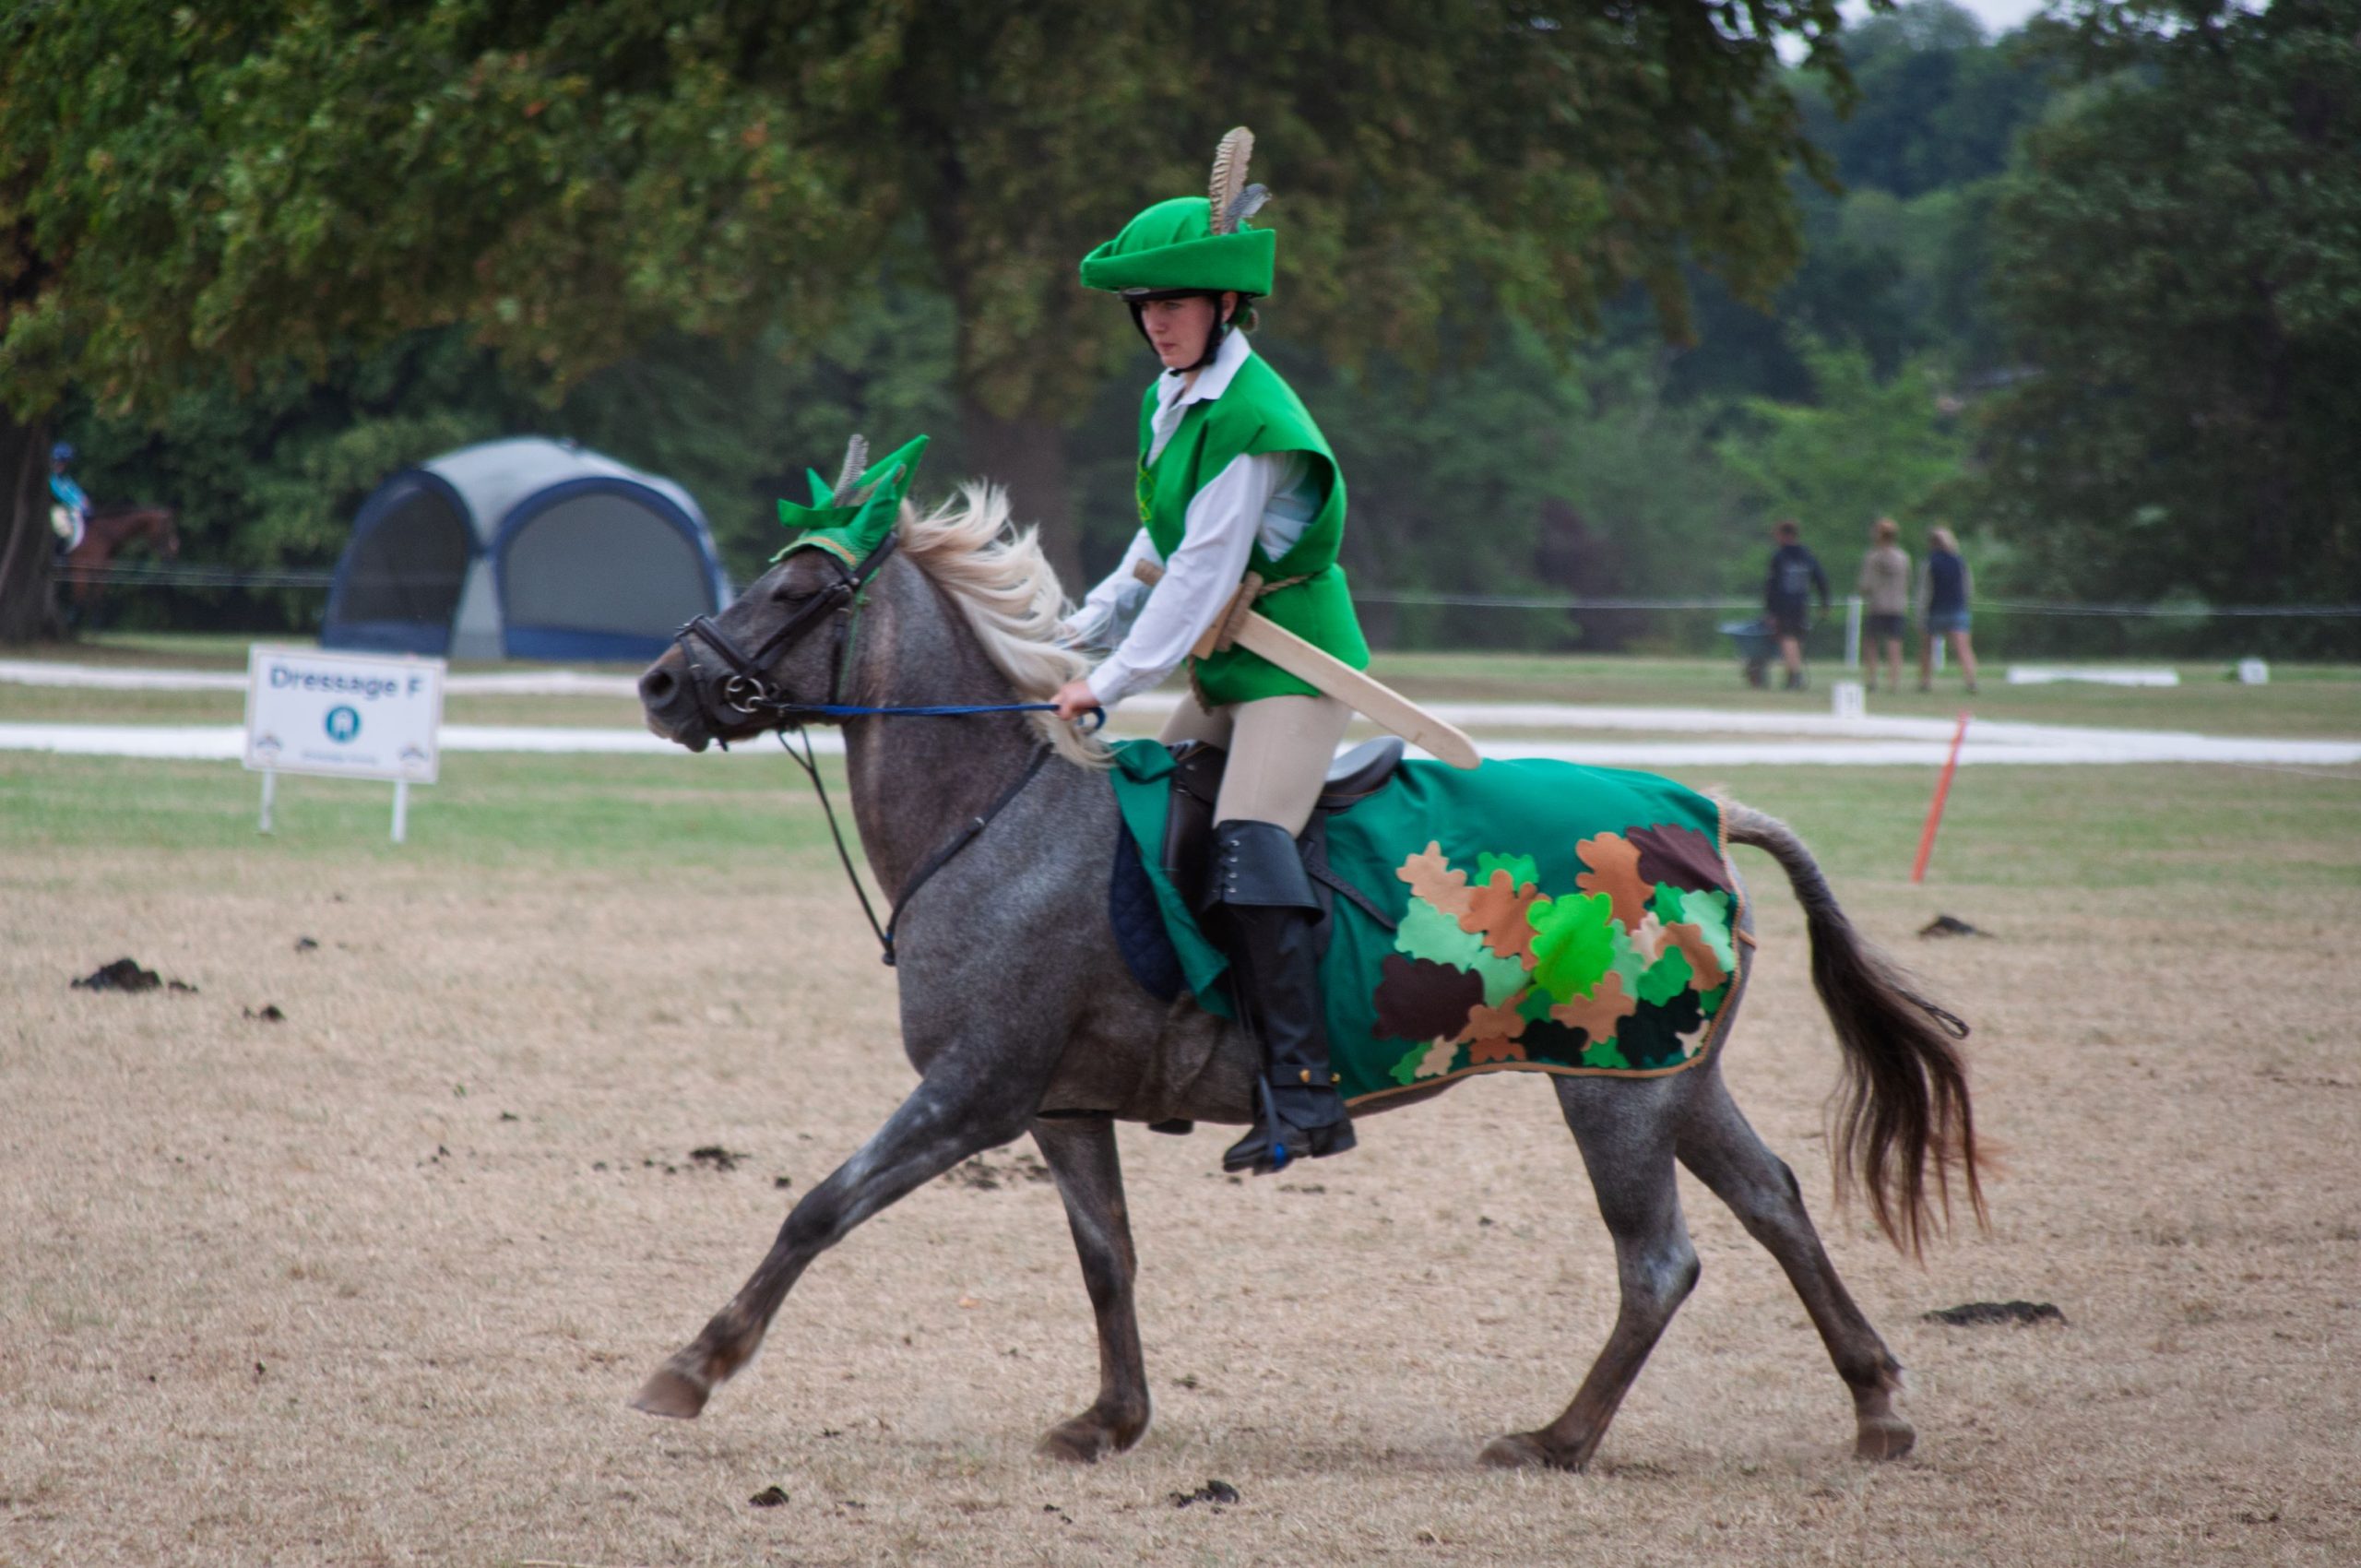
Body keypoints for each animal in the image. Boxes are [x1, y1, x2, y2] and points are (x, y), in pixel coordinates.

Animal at [630, 481, 1983, 1470]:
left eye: (798, 586)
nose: (660, 682)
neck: (996, 814)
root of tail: (1701, 808)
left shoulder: (973, 1096)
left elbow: (818, 1208)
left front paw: (692, 1367)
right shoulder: (1059, 1106)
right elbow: (1107, 1257)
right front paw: (1111, 1419)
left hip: (1613, 1094)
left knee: (1660, 1263)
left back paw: (1559, 1437)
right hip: (1671, 1084)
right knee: (1774, 1204)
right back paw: (1875, 1405)